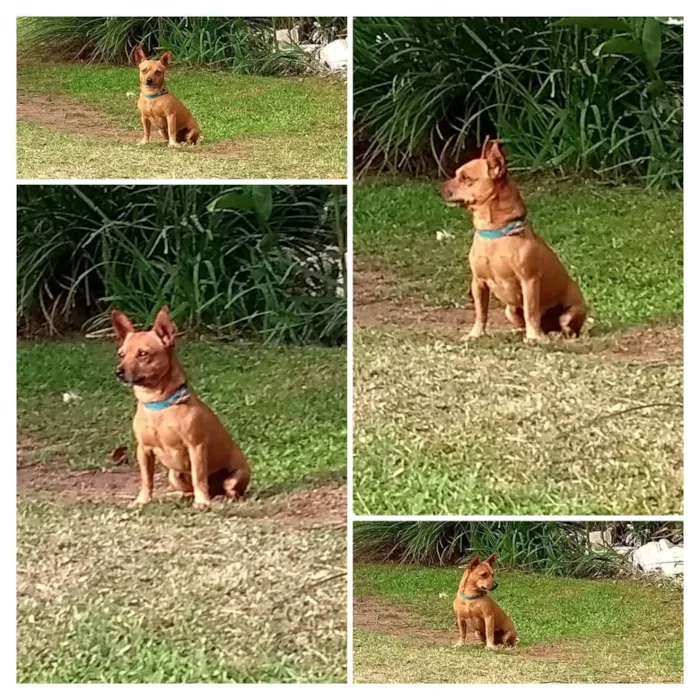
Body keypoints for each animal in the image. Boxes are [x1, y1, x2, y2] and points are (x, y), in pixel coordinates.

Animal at [110, 306, 250, 508]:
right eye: (121, 354)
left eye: (143, 354)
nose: (118, 371)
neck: (158, 405)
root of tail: (215, 490)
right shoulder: (143, 450)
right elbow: (146, 480)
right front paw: (142, 500)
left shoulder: (196, 447)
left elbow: (199, 477)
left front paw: (202, 502)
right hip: (174, 475)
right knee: (189, 489)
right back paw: (182, 496)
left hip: (237, 473)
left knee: (227, 488)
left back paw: (220, 497)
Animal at [442, 138, 584, 340]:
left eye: (465, 178)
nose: (439, 188)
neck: (494, 234)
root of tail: (549, 327)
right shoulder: (478, 283)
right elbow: (480, 313)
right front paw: (475, 334)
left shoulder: (529, 281)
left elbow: (531, 312)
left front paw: (534, 338)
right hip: (509, 310)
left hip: (570, 312)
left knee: (565, 326)